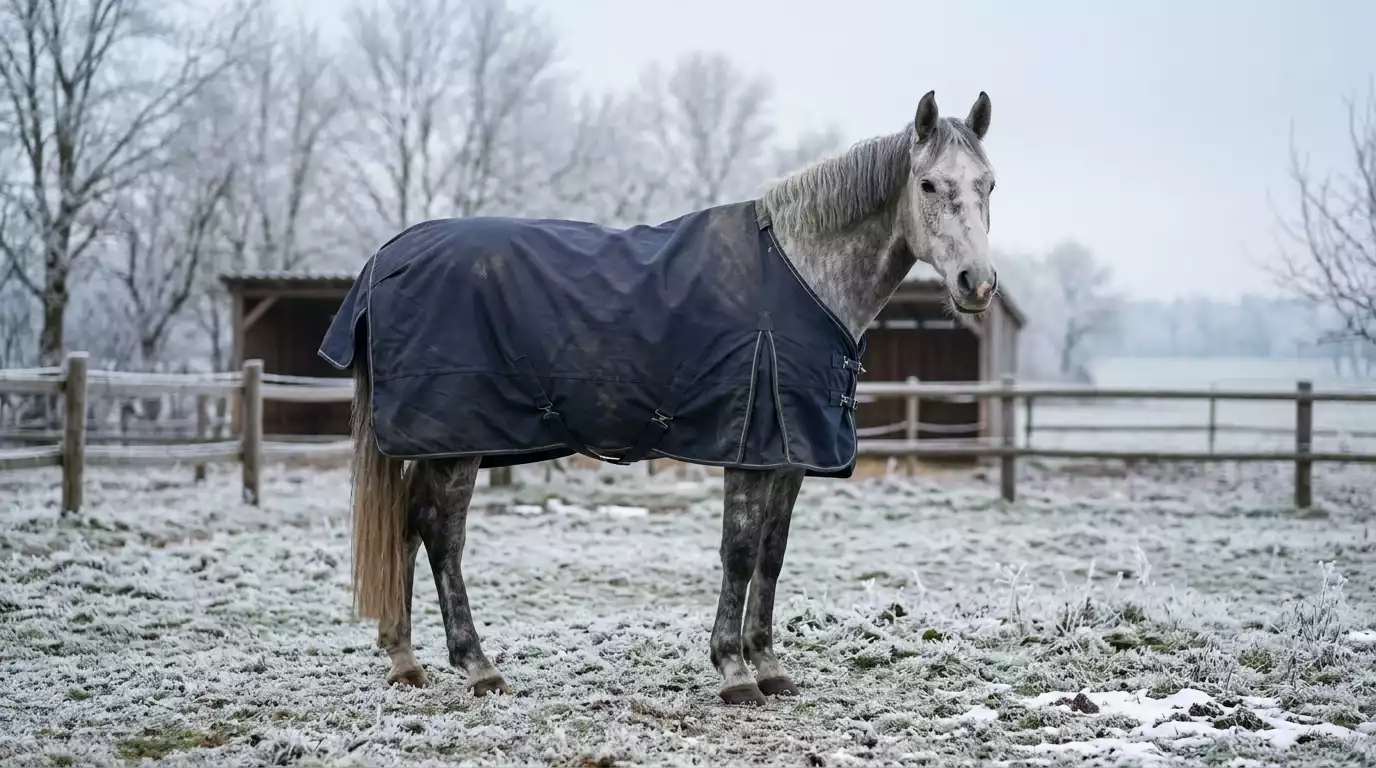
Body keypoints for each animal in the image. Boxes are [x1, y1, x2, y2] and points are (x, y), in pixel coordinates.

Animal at [321, 90, 999, 706]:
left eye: (989, 184)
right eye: (929, 185)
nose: (978, 283)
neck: (800, 275)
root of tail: (387, 258)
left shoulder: (789, 453)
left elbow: (772, 555)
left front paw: (769, 665)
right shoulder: (749, 447)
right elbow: (739, 553)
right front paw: (733, 672)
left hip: (440, 442)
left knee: (406, 526)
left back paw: (406, 661)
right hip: (456, 442)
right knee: (442, 536)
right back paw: (477, 666)